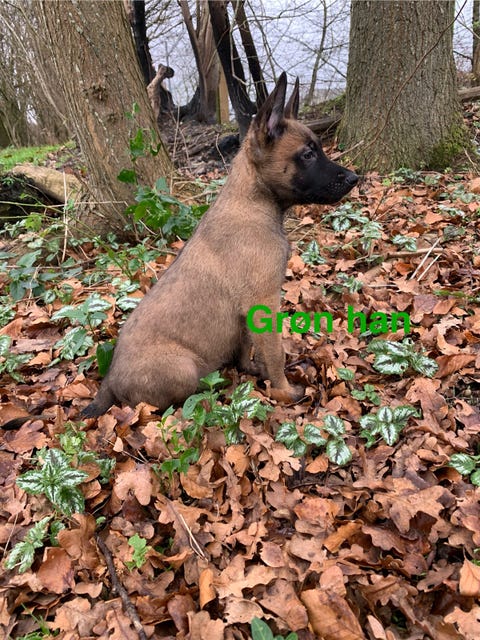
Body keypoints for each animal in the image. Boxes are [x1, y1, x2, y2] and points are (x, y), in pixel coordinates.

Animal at [3, 73, 358, 429]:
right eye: (308, 155)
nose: (355, 177)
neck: (253, 203)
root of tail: (108, 382)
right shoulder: (263, 301)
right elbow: (275, 353)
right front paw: (284, 391)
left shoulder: (247, 311)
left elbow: (246, 347)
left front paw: (253, 371)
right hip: (183, 367)